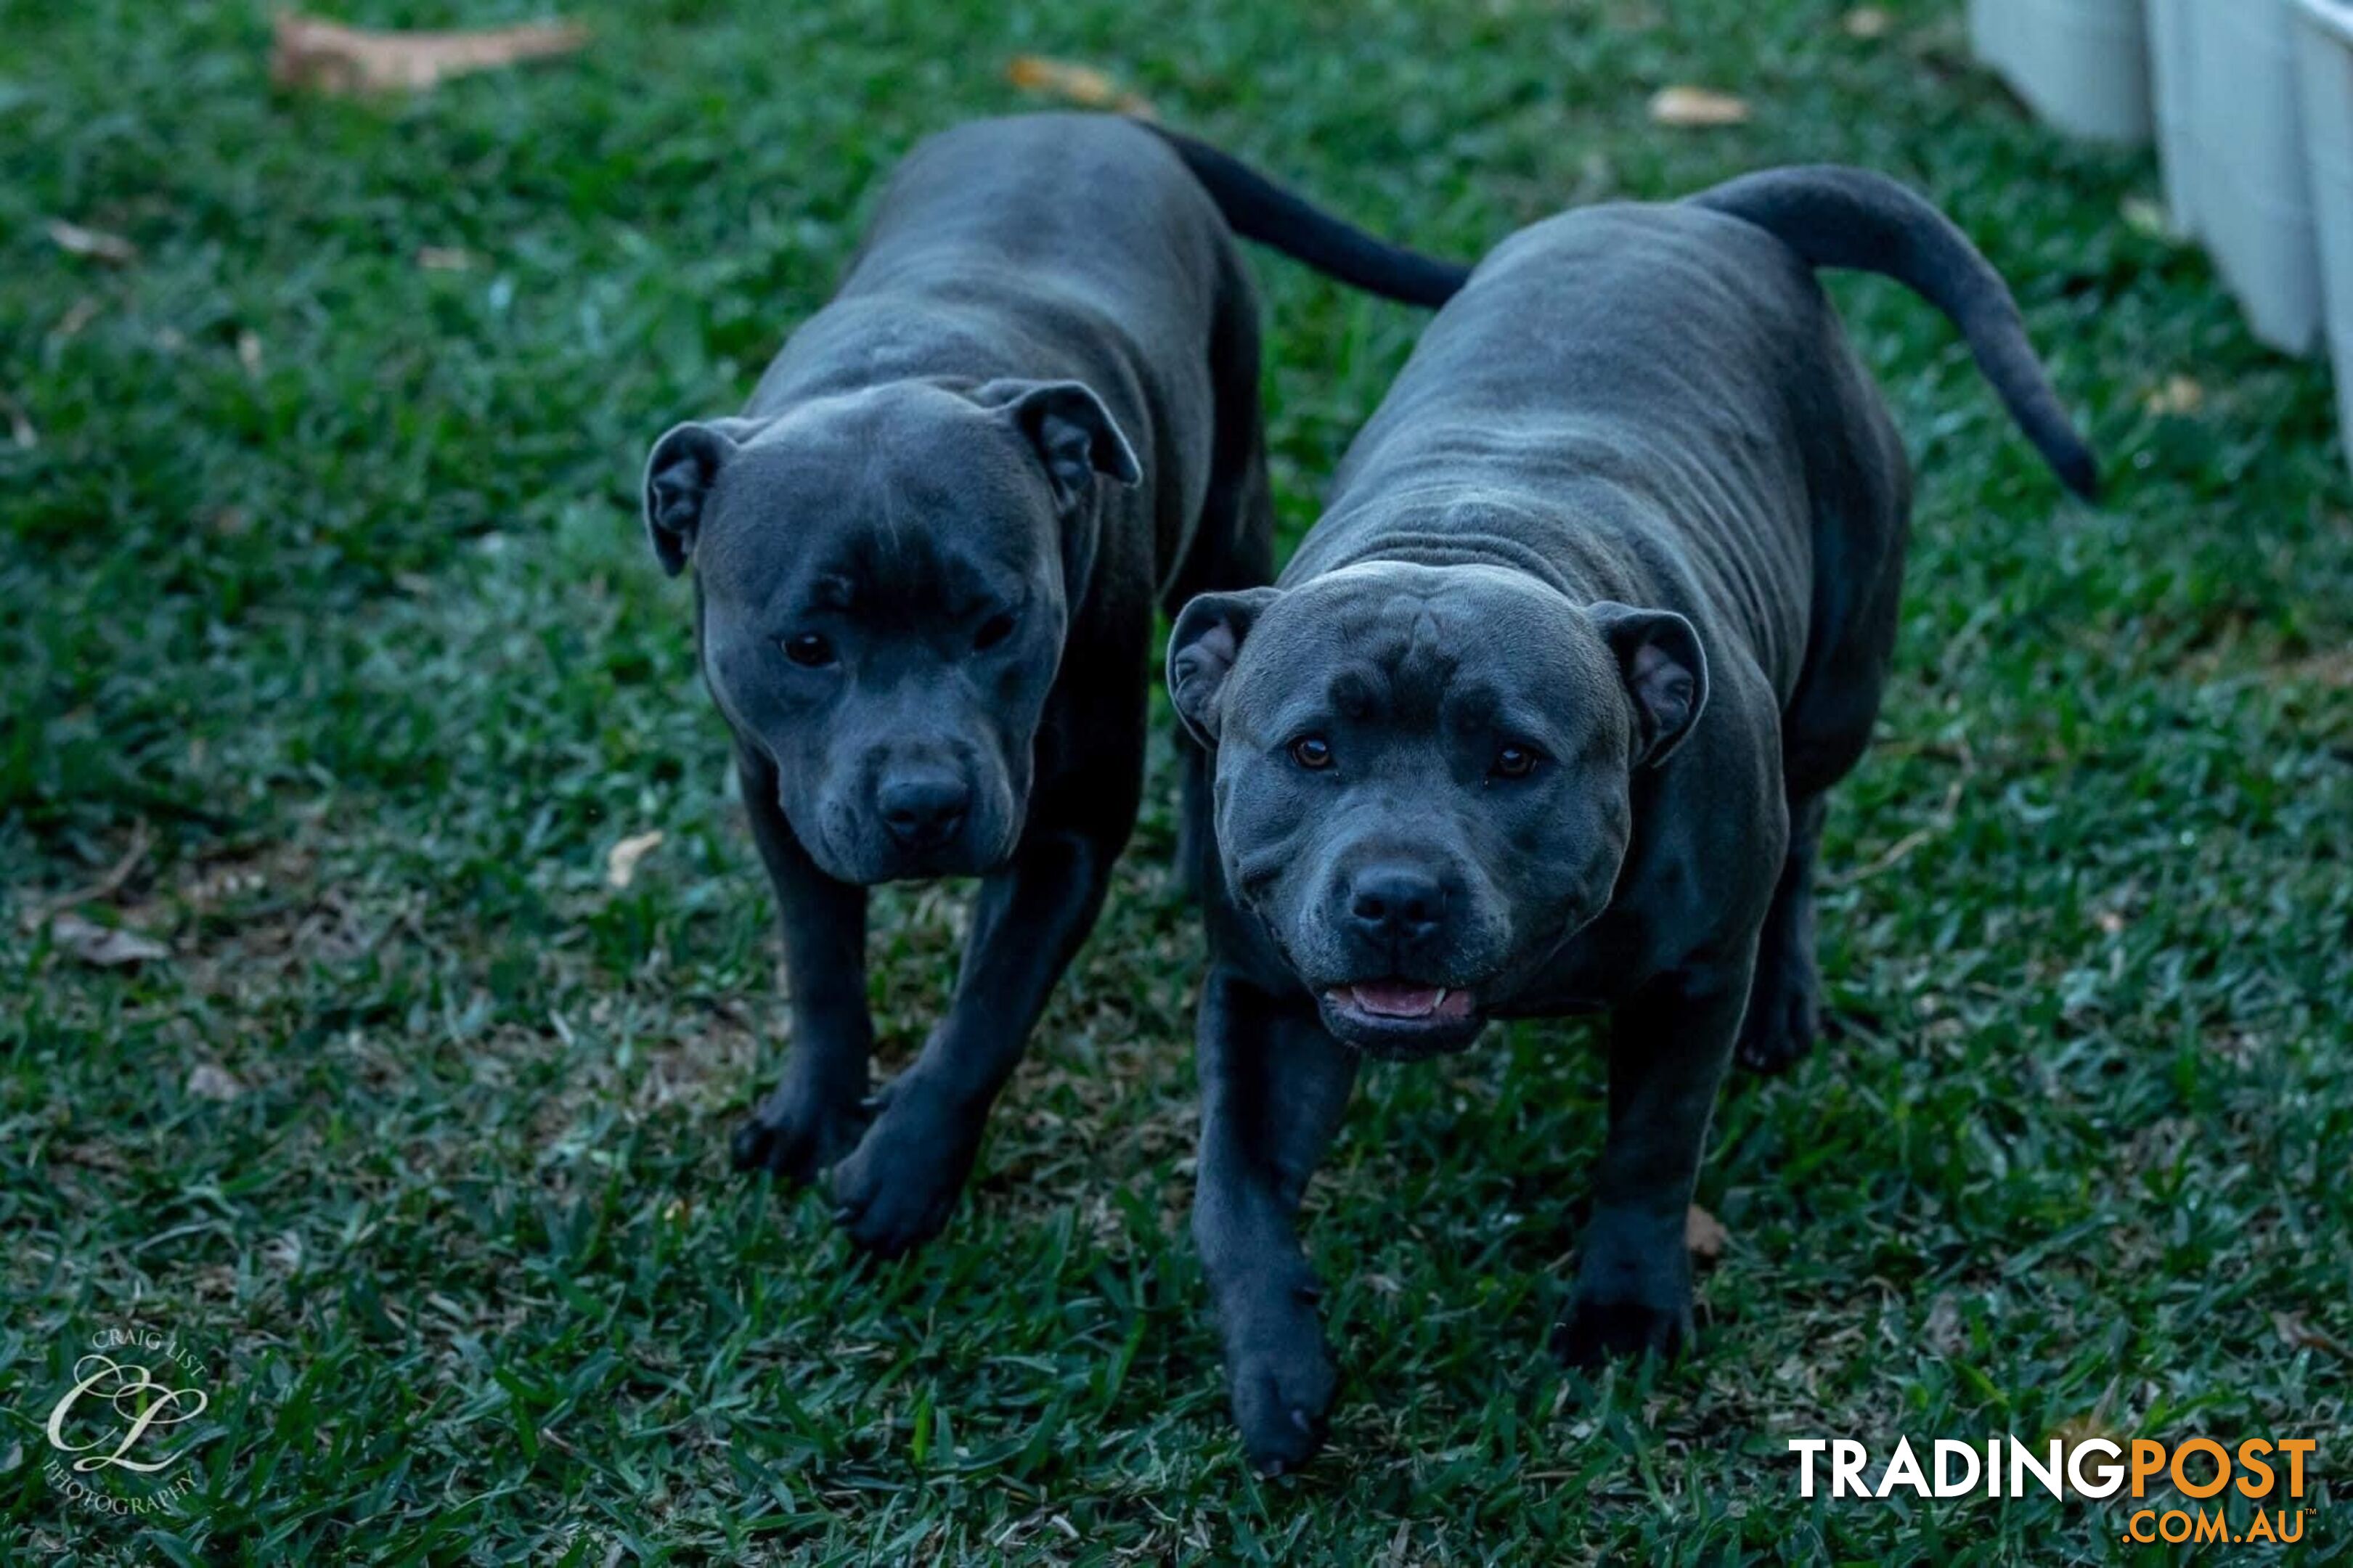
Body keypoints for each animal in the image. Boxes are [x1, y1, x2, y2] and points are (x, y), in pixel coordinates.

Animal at [635, 110, 1459, 1252]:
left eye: (997, 623)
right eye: (805, 646)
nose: (924, 805)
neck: (907, 364)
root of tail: (1091, 114)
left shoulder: (1065, 829)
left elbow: (990, 1008)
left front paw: (902, 1173)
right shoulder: (780, 795)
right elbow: (821, 963)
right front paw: (814, 1113)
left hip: (1229, 509)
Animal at [1167, 168, 2108, 1469]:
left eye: (1515, 760)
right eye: (1310, 750)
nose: (1396, 896)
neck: (1463, 535)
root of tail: (1706, 210)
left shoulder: (1692, 980)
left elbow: (1652, 1151)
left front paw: (1622, 1314)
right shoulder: (1260, 992)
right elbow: (1233, 1189)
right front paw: (1277, 1375)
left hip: (1838, 689)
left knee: (1806, 833)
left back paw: (1786, 1001)